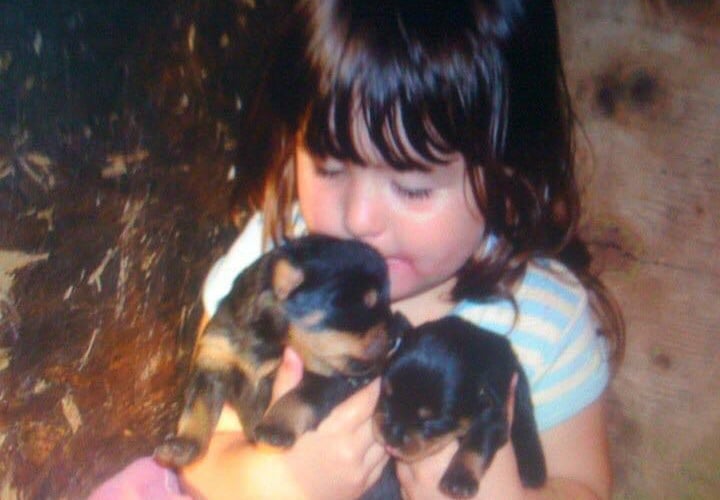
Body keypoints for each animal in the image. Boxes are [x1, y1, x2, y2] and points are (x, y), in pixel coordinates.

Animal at [155, 235, 400, 468]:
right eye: (365, 305)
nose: (394, 338)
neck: (267, 337)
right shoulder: (215, 361)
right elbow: (197, 408)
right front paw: (182, 445)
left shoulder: (328, 378)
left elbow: (298, 397)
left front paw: (274, 429)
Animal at [374, 316, 548, 496]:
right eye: (385, 398)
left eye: (433, 422)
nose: (390, 436)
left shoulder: (493, 414)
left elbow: (476, 443)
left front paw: (459, 480)